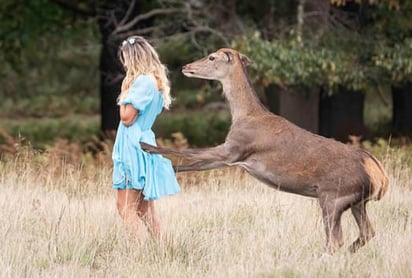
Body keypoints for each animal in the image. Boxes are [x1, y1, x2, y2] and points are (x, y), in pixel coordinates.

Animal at [140, 48, 388, 254]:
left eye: (212, 57)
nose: (186, 66)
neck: (244, 115)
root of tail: (381, 178)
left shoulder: (234, 147)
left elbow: (191, 152)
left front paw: (147, 147)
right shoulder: (231, 156)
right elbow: (194, 165)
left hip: (332, 195)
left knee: (336, 240)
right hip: (356, 201)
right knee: (367, 232)